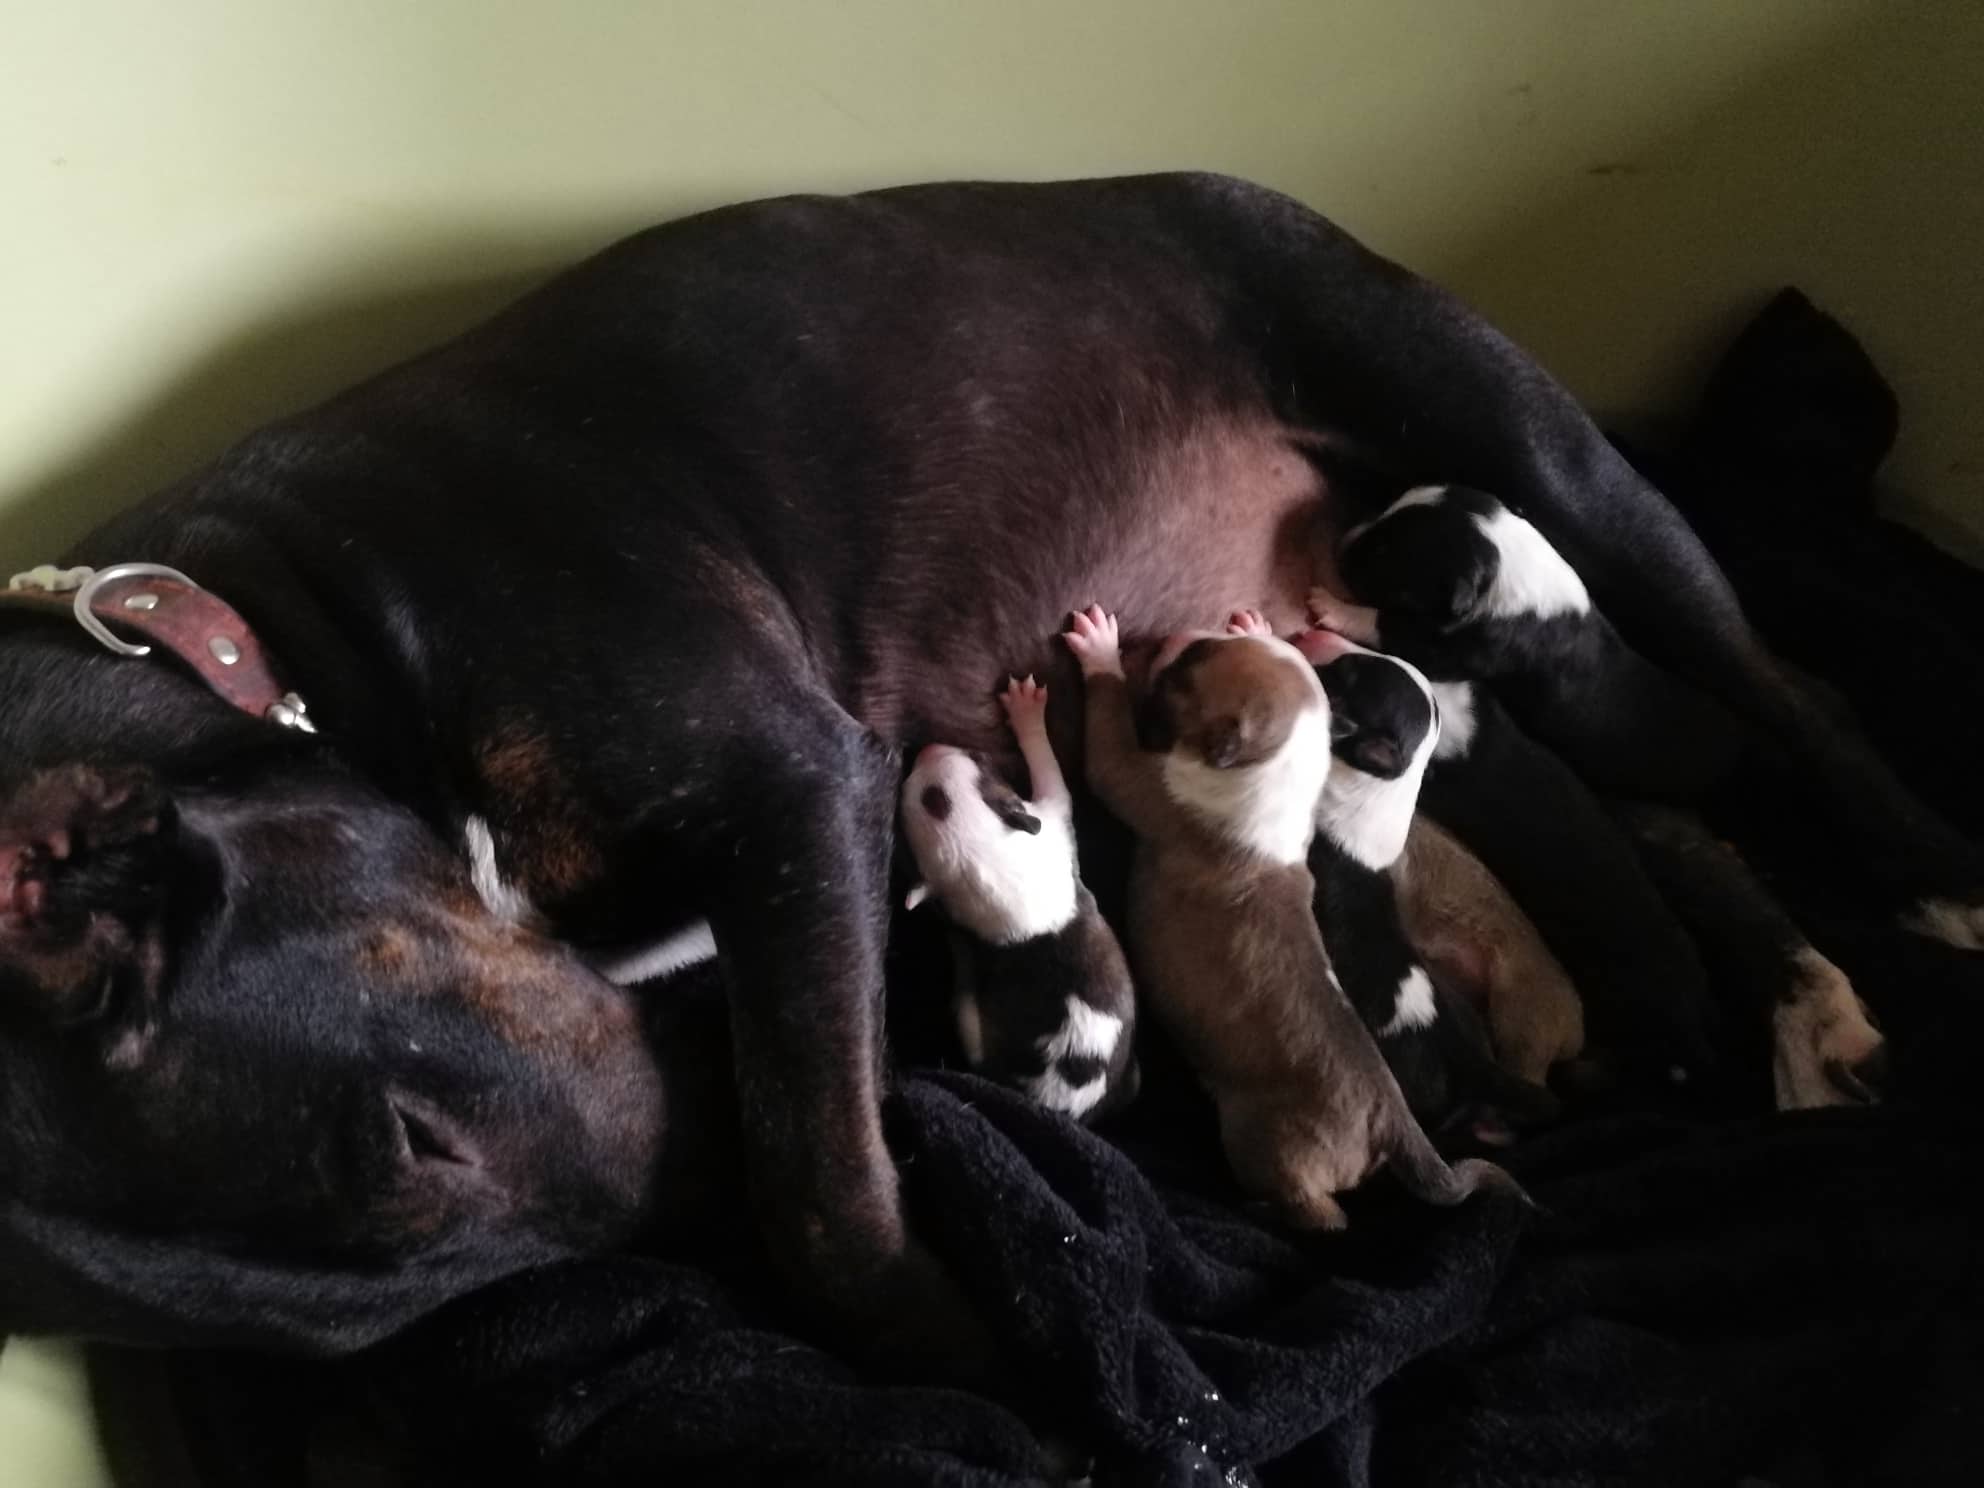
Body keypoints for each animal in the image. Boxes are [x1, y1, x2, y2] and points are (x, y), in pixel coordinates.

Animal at [899, 676, 1138, 1121]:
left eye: (977, 757)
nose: (924, 748)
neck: (987, 864)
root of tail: (1051, 1103)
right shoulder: (1055, 816)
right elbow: (1047, 765)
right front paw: (1028, 712)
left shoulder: (1051, 822)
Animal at [1062, 604, 1514, 1228]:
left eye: (1191, 666)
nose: (1176, 635)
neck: (1276, 775)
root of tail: (1396, 1124)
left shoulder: (1144, 787)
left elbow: (1107, 747)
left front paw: (1100, 651)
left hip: (1268, 1145)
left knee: (1322, 1215)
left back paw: (1259, 1207)